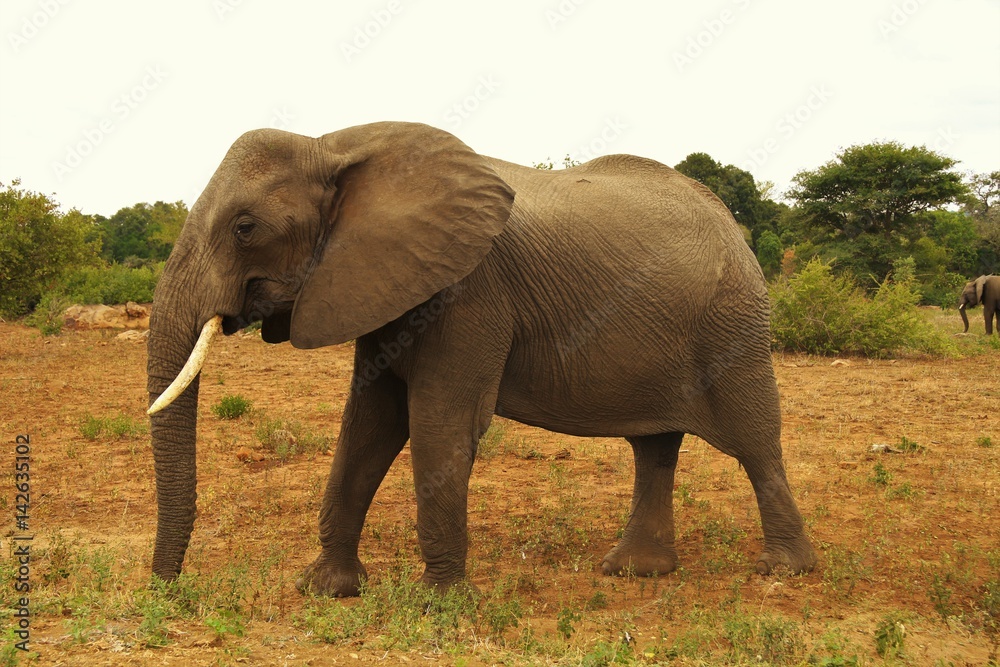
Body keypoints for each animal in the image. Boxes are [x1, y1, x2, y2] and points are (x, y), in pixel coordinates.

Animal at [146, 121, 817, 597]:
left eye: (245, 228)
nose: (167, 589)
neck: (333, 146)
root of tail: (733, 224)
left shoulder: (470, 291)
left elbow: (440, 424)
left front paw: (437, 600)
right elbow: (368, 426)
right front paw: (326, 590)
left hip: (733, 323)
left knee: (755, 441)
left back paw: (785, 571)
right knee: (655, 447)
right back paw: (635, 573)